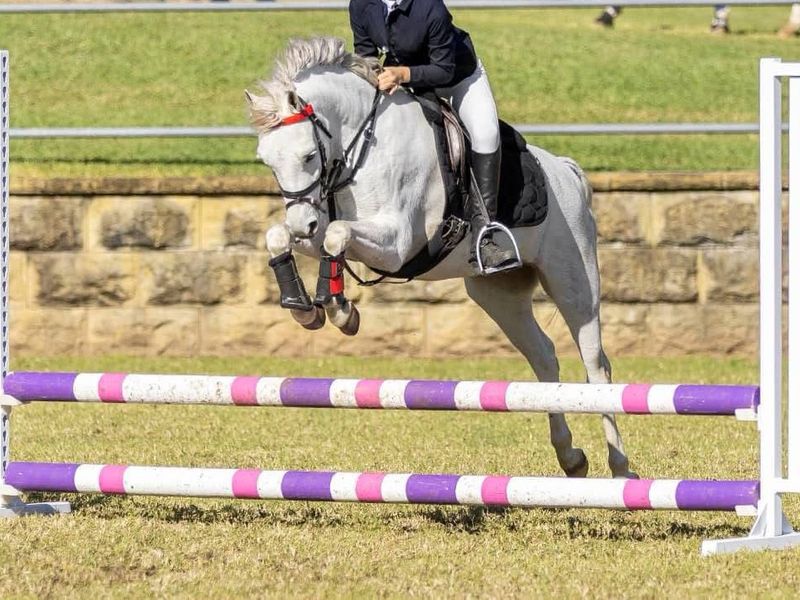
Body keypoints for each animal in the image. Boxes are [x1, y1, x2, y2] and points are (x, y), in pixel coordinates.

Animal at [246, 36, 636, 480]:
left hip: (573, 283)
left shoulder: (398, 243)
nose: (303, 222)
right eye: (267, 161)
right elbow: (283, 236)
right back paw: (571, 457)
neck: (363, 146)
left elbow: (337, 233)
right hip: (498, 294)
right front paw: (305, 307)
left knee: (595, 365)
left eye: (309, 156)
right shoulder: (318, 225)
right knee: (543, 356)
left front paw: (340, 310)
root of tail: (567, 171)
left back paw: (620, 468)